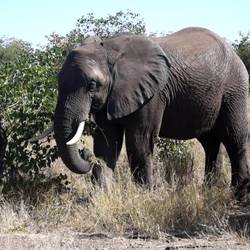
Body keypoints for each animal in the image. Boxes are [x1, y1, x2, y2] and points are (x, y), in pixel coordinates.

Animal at [44, 27, 249, 198]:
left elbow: (139, 140)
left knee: (233, 138)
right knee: (210, 141)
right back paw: (210, 189)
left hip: (234, 89)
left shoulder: (153, 93)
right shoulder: (111, 95)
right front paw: (101, 195)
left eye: (92, 85)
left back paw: (238, 193)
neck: (110, 51)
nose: (86, 153)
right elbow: (106, 142)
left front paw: (145, 194)